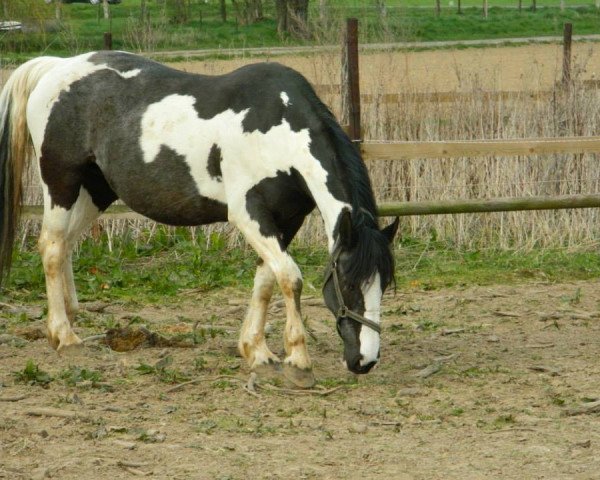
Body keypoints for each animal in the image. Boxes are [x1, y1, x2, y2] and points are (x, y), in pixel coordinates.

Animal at [2, 52, 400, 388]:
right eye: (348, 284)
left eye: (384, 284)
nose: (364, 360)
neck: (278, 128)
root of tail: (56, 66)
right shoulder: (247, 213)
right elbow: (290, 277)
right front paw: (298, 361)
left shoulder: (285, 220)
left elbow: (266, 280)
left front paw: (257, 352)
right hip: (62, 184)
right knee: (51, 247)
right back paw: (64, 336)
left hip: (95, 190)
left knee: (67, 245)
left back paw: (69, 317)